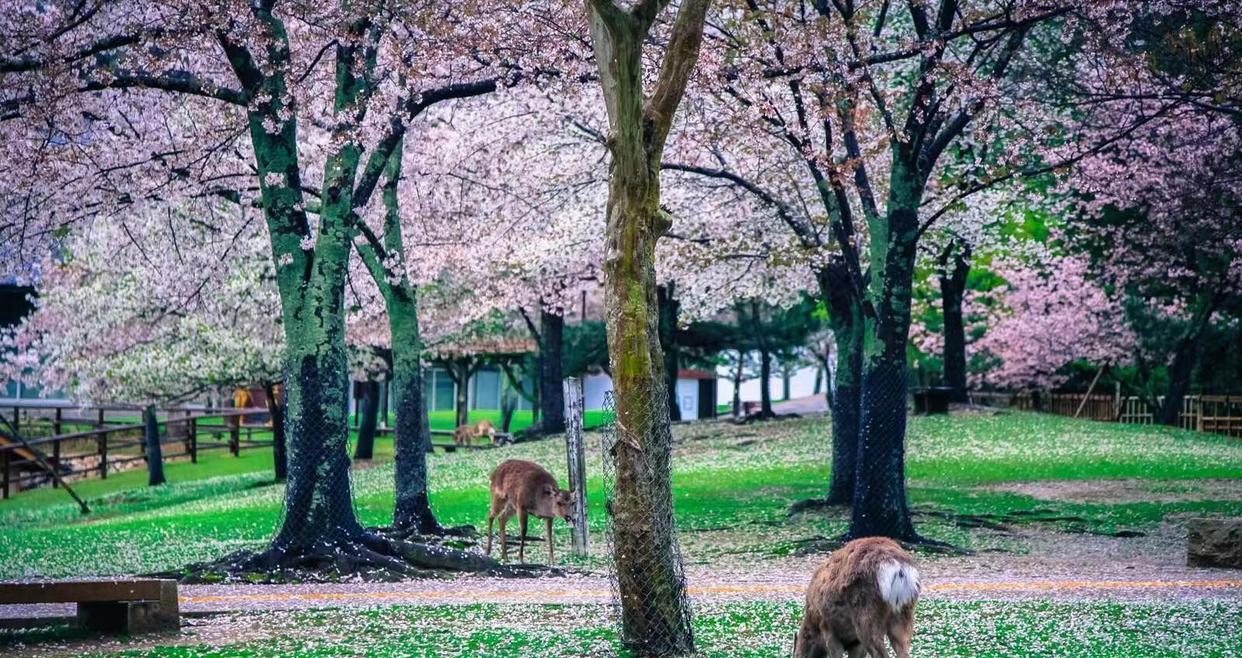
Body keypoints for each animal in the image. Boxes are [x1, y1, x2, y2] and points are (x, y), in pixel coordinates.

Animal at [794, 538, 924, 655]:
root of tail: (899, 568)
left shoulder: (827, 627)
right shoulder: (855, 642)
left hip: (866, 615)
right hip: (905, 613)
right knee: (904, 651)